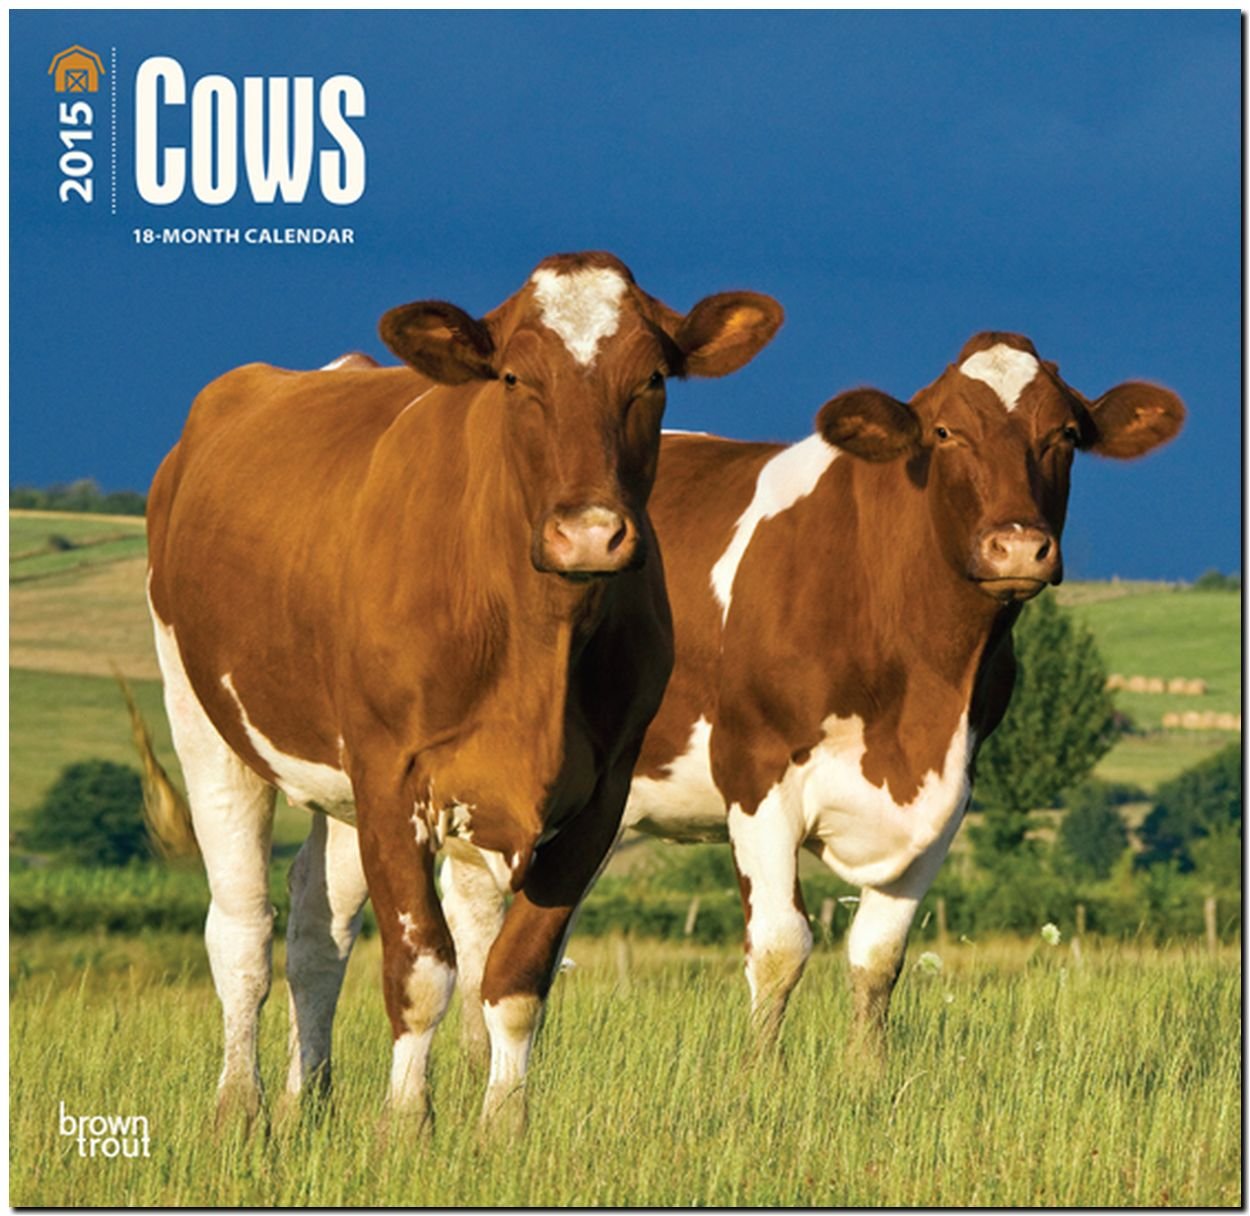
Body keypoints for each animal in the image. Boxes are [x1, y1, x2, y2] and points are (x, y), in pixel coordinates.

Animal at [141, 251, 783, 1132]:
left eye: (652, 378)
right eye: (513, 377)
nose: (589, 532)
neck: (539, 639)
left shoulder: (602, 796)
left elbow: (515, 975)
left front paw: (502, 1126)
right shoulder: (391, 774)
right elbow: (422, 971)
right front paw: (406, 1127)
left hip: (337, 781)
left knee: (316, 927)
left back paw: (311, 1098)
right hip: (202, 716)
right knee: (241, 930)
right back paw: (241, 1109)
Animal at [442, 331, 1184, 1055]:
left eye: (1065, 433)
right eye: (946, 432)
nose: (1020, 546)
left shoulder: (948, 795)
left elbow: (879, 955)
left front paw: (867, 1075)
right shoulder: (757, 774)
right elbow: (780, 948)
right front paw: (759, 1077)